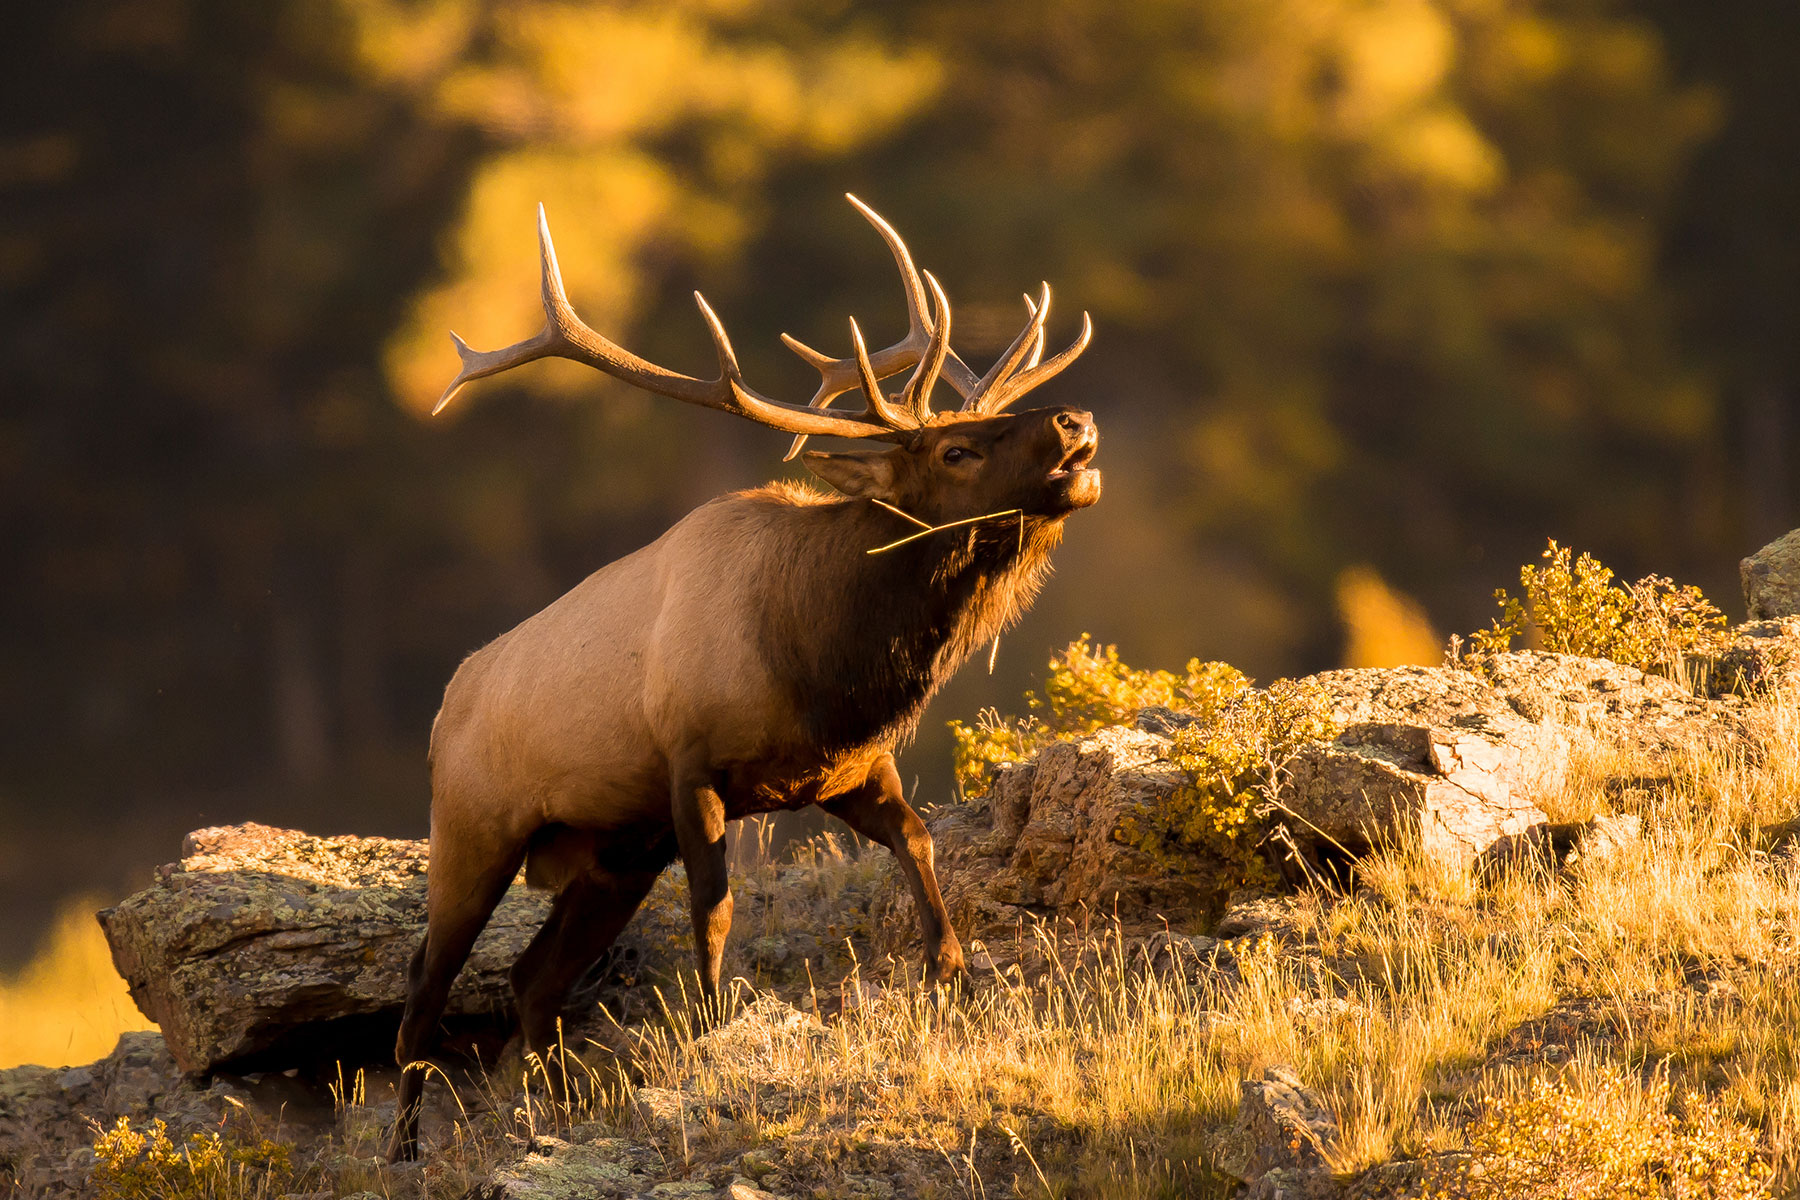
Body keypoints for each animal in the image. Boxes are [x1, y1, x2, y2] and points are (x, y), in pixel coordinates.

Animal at [385, 195, 1100, 1161]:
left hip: (612, 848)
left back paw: (557, 1111)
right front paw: (716, 1026)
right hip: (474, 828)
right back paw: (404, 1150)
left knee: (533, 979)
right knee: (424, 994)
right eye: (956, 450)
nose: (1073, 421)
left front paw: (952, 979)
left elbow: (919, 844)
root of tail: (440, 711)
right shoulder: (692, 768)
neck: (822, 659)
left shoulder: (849, 768)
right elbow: (716, 910)